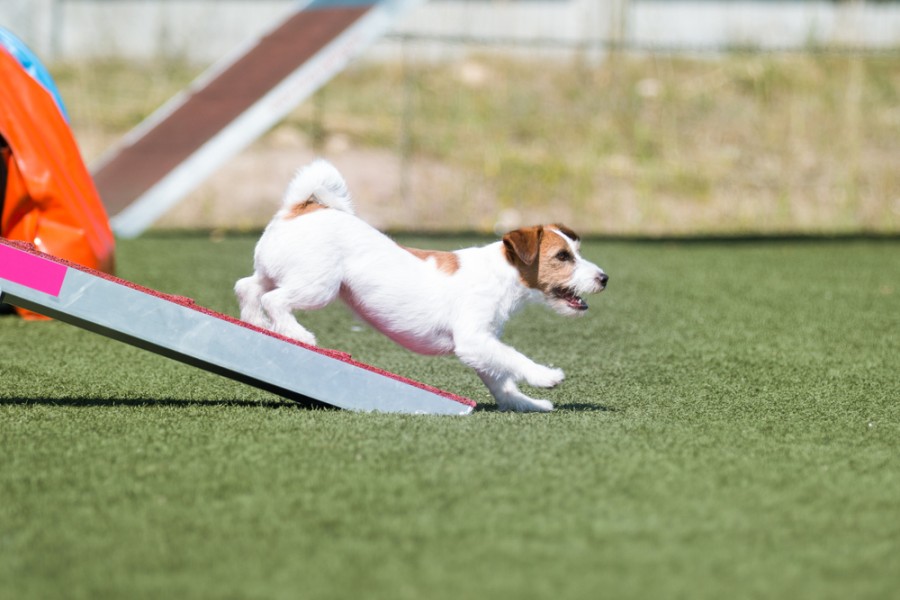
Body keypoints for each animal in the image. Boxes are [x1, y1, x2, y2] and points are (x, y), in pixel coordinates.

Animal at [236, 158, 608, 412]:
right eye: (563, 256)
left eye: (576, 251)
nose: (604, 278)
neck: (501, 273)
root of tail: (300, 208)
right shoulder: (473, 340)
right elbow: (513, 357)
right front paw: (546, 376)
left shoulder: (482, 346)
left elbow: (501, 380)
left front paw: (525, 404)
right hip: (319, 287)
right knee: (274, 300)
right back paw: (298, 335)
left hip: (276, 272)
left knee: (247, 287)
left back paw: (257, 325)